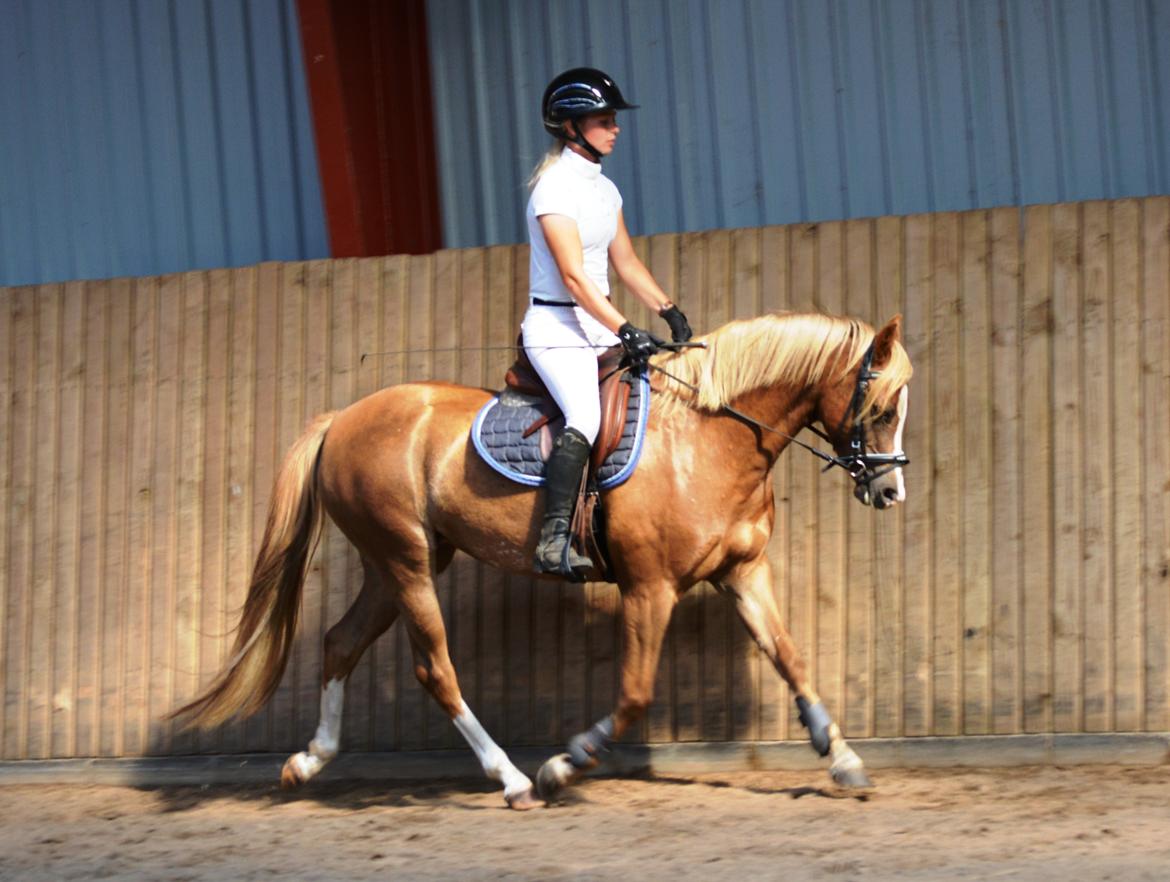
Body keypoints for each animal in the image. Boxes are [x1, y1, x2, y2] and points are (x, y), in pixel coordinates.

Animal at [172, 311, 913, 810]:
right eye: (880, 408)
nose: (890, 491)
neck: (709, 436)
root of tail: (341, 420)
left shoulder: (743, 573)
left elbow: (790, 659)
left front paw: (843, 760)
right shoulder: (650, 588)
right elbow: (635, 695)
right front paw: (568, 761)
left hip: (394, 565)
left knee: (339, 643)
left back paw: (308, 762)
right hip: (406, 561)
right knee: (434, 669)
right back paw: (515, 779)